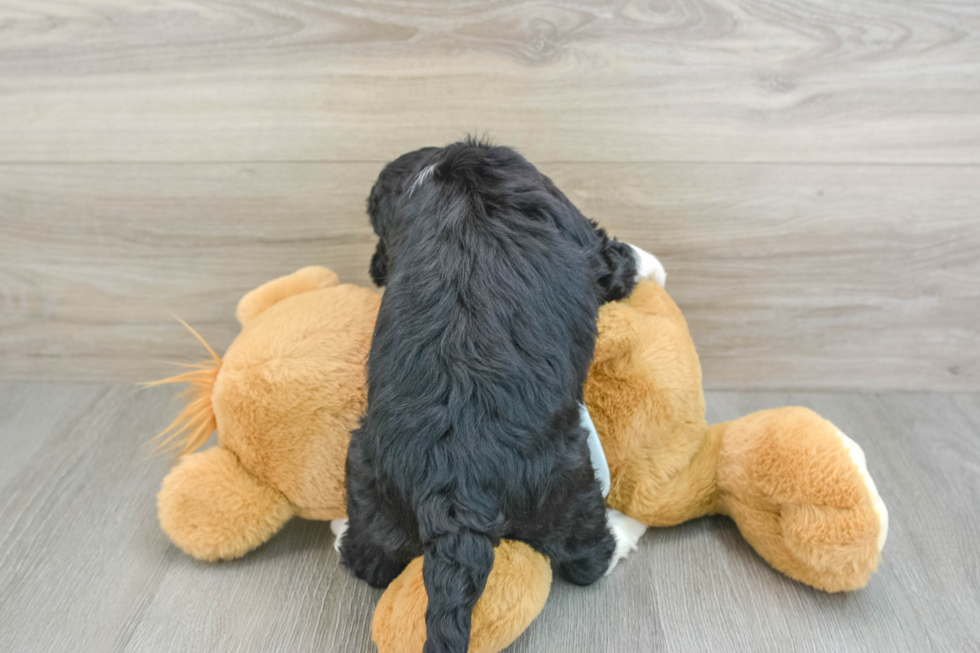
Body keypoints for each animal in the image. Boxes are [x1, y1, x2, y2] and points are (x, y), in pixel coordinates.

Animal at [336, 139, 660, 652]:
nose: (375, 267)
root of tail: (455, 492)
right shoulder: (587, 243)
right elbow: (622, 258)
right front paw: (654, 266)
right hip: (568, 483)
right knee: (588, 556)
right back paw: (627, 528)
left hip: (368, 474)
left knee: (372, 557)